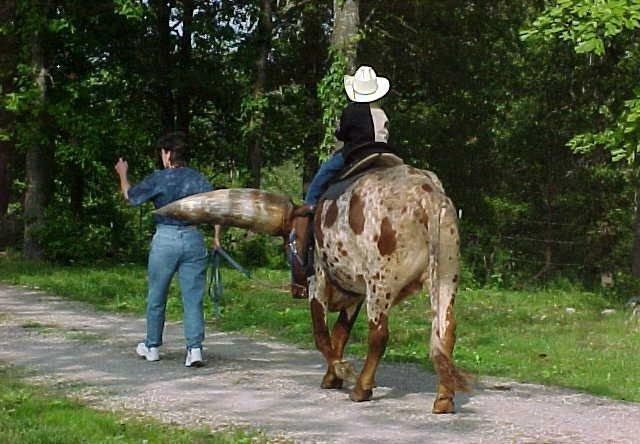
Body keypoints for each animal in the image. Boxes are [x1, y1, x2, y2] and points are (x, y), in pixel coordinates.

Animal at [153, 164, 468, 412]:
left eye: (288, 242)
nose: (295, 288)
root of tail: (426, 196)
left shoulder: (319, 284)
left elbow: (321, 335)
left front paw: (342, 371)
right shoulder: (354, 292)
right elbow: (339, 335)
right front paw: (333, 376)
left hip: (381, 282)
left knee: (379, 335)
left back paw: (362, 388)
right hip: (444, 276)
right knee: (444, 332)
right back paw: (444, 397)